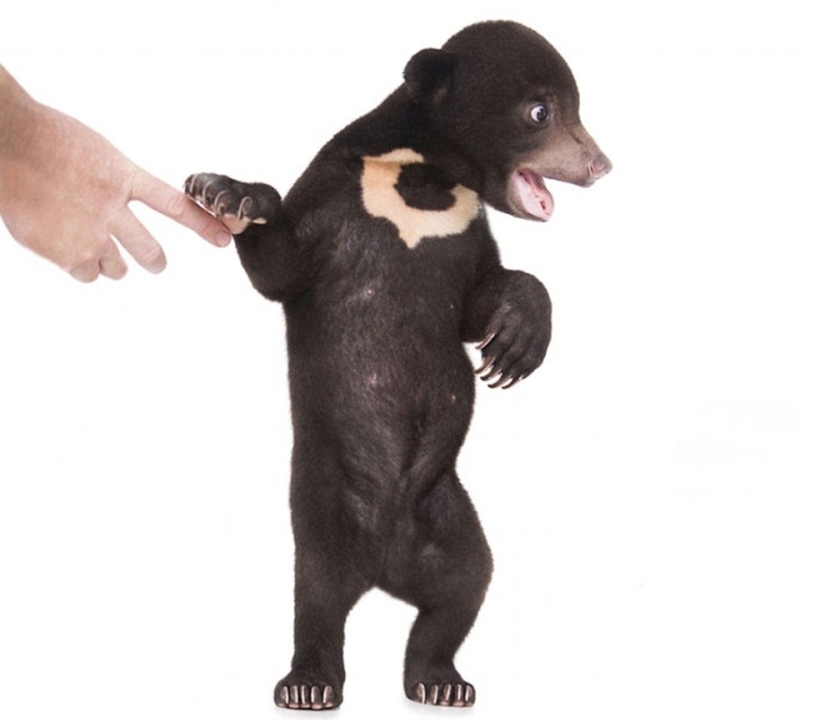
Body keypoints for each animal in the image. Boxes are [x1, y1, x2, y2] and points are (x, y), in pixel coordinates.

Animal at [185, 20, 610, 710]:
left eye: (577, 107)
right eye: (540, 112)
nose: (601, 164)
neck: (422, 181)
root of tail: (386, 564)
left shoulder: (465, 228)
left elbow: (482, 297)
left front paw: (514, 346)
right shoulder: (336, 192)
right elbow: (281, 268)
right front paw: (228, 193)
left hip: (447, 512)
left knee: (463, 589)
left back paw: (440, 681)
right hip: (323, 506)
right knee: (317, 597)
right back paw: (309, 684)